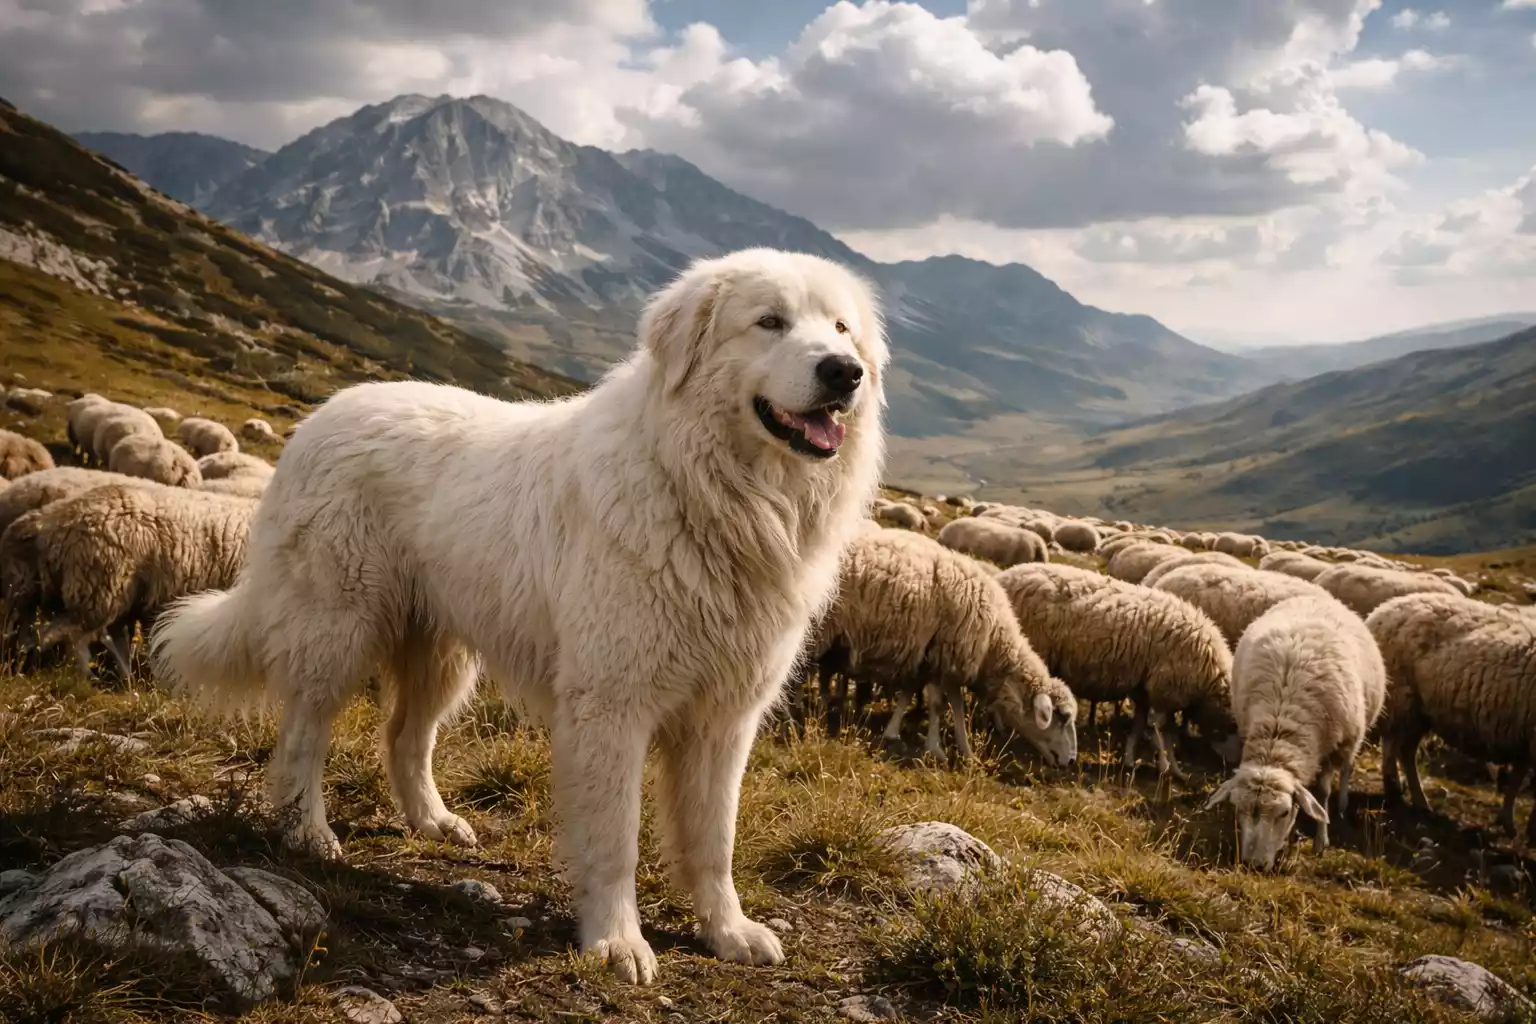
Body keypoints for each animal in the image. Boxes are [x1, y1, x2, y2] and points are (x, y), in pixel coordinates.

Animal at [3, 483, 256, 679]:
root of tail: (53, 520)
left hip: (117, 593)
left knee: (105, 638)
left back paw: (125, 679)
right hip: (98, 588)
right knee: (67, 634)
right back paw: (82, 675)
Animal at [806, 530, 1078, 765]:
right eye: (1062, 718)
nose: (1071, 760)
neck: (993, 642)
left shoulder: (933, 661)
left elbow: (941, 702)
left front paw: (964, 749)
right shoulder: (942, 658)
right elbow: (938, 705)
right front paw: (935, 749)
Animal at [998, 563, 1238, 777]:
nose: (1230, 768)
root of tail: (1007, 577)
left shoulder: (1146, 691)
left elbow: (1140, 726)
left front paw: (1132, 760)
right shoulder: (1167, 691)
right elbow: (1163, 734)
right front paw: (1168, 768)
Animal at [1206, 595, 1386, 869]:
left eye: (1284, 812)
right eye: (1238, 809)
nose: (1253, 865)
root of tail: (1316, 597)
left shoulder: (1334, 745)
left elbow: (1323, 792)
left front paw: (1321, 839)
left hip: (1354, 735)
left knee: (1347, 766)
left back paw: (1342, 803)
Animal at [1368, 593, 1536, 839]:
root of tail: (1384, 608)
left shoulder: (1525, 739)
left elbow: (1518, 777)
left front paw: (1509, 822)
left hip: (1420, 712)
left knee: (1406, 751)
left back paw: (1419, 801)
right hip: (1402, 699)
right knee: (1392, 745)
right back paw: (1395, 791)